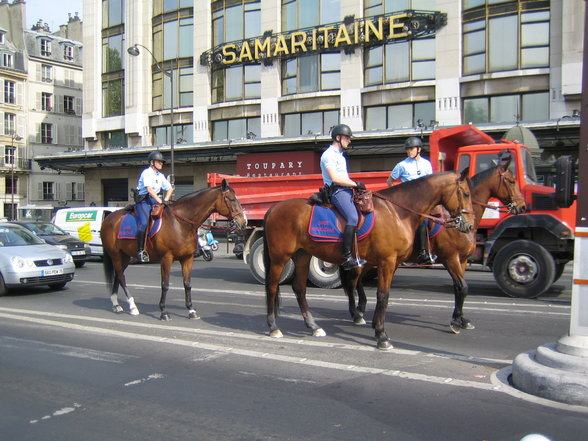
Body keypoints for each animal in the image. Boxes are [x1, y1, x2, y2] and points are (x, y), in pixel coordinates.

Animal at [101, 179, 246, 320]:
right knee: (121, 277)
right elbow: (165, 285)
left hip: (124, 256)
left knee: (118, 276)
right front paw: (163, 312)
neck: (180, 223)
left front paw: (191, 310)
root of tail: (109, 217)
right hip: (115, 255)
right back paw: (132, 306)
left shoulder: (187, 258)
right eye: (232, 199)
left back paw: (116, 304)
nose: (244, 222)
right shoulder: (167, 258)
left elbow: (187, 283)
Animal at [264, 168, 476, 348]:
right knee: (272, 286)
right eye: (466, 194)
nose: (468, 225)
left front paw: (376, 326)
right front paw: (381, 335)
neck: (397, 212)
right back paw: (273, 326)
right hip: (279, 258)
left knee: (300, 288)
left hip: (303, 255)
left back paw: (314, 326)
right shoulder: (390, 261)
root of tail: (273, 208)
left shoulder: (394, 263)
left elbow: (384, 295)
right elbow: (383, 296)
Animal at [350, 155, 528, 334]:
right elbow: (463, 287)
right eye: (512, 181)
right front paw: (456, 322)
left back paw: (359, 310)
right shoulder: (450, 258)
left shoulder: (462, 260)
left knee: (356, 280)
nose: (523, 206)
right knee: (353, 280)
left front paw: (461, 319)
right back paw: (357, 312)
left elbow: (459, 288)